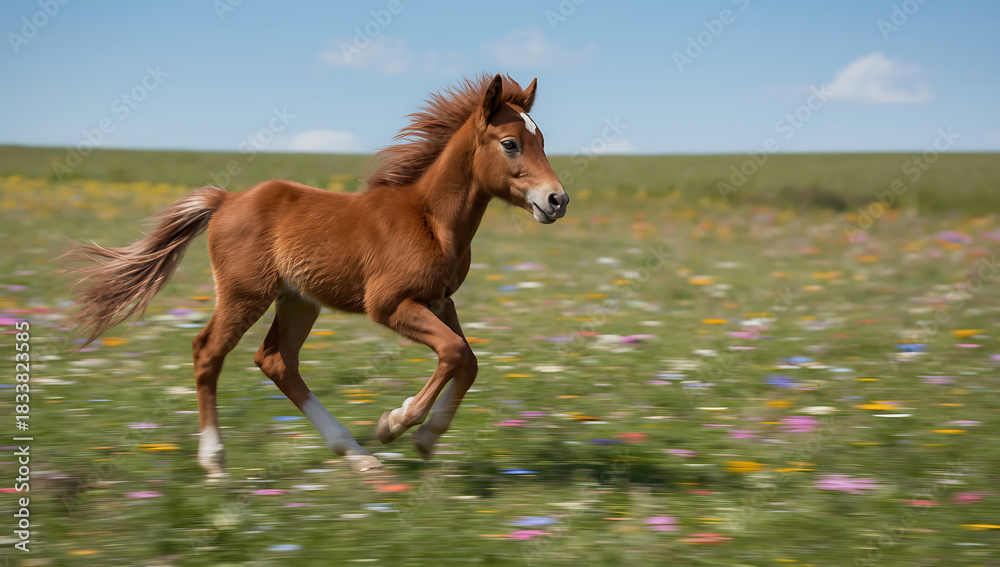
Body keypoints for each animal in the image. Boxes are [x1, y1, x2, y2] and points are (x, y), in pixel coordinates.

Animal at [67, 74, 569, 479]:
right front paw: (395, 424)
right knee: (208, 351)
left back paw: (355, 454)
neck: (429, 219)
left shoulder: (440, 300)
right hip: (245, 294)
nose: (557, 200)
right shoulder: (389, 304)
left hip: (298, 301)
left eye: (543, 141)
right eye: (510, 143)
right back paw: (216, 462)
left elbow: (468, 360)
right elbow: (454, 351)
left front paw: (425, 438)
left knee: (276, 360)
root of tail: (226, 200)